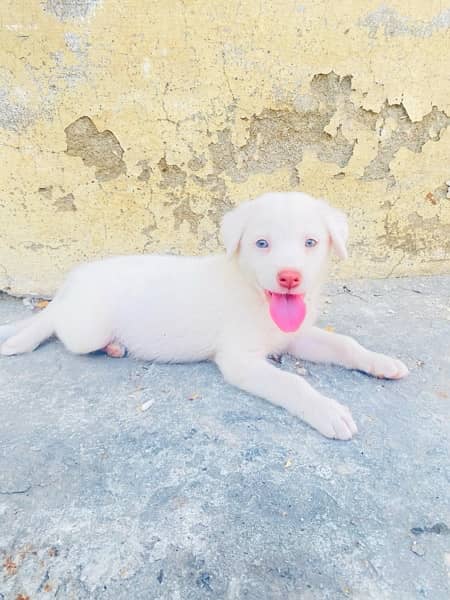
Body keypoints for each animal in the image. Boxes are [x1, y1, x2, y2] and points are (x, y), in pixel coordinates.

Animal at [0, 193, 408, 440]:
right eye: (262, 244)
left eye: (311, 242)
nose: (289, 277)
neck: (254, 297)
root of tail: (73, 281)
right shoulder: (240, 361)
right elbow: (291, 383)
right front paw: (327, 410)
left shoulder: (295, 336)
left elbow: (345, 344)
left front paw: (381, 362)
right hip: (86, 327)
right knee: (57, 325)